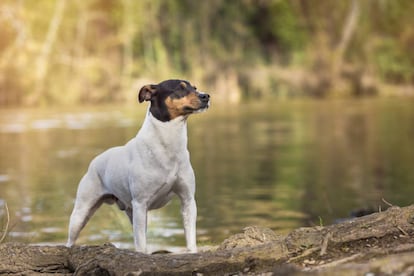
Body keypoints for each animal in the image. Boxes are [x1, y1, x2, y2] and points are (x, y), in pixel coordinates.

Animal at [68, 79, 210, 252]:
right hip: (82, 212)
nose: (206, 96)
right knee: (70, 239)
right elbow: (141, 245)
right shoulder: (141, 204)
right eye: (179, 88)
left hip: (131, 212)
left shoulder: (188, 200)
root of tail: (95, 161)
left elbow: (190, 240)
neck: (168, 144)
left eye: (195, 88)